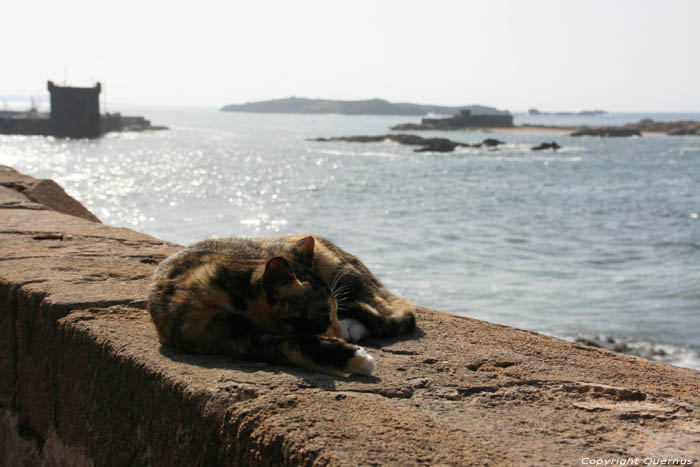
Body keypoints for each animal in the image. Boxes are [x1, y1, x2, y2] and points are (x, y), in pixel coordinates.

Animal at [145, 236, 412, 378]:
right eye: (322, 320)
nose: (336, 331)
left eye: (334, 313)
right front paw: (353, 357)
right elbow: (294, 343)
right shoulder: (228, 335)